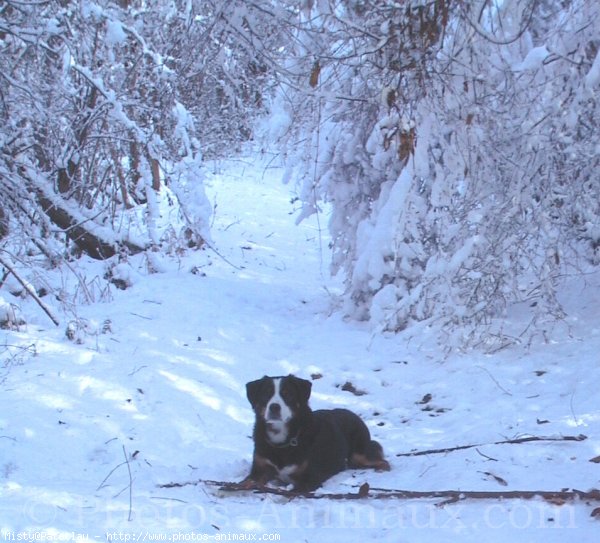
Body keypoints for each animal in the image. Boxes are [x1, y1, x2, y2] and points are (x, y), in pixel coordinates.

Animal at [241, 374, 392, 492]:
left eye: (288, 394)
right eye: (266, 394)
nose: (274, 407)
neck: (282, 442)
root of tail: (354, 415)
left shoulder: (310, 478)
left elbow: (293, 492)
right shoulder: (259, 470)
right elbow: (243, 483)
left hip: (358, 454)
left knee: (383, 461)